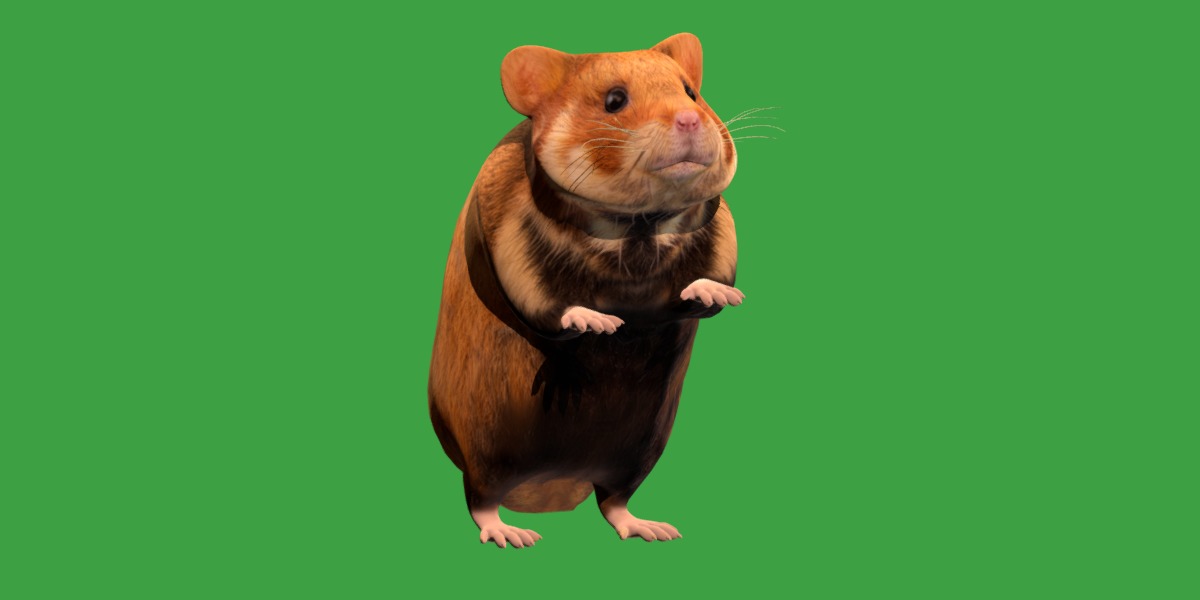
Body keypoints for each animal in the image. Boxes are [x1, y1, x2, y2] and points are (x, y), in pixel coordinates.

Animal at [428, 33, 744, 548]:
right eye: (614, 100)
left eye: (691, 93)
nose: (690, 118)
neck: (637, 227)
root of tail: (556, 487)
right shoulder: (509, 237)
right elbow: (544, 304)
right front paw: (599, 321)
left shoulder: (719, 225)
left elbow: (708, 282)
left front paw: (719, 294)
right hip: (486, 447)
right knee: (480, 500)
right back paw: (513, 534)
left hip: (637, 453)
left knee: (614, 501)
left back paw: (652, 529)